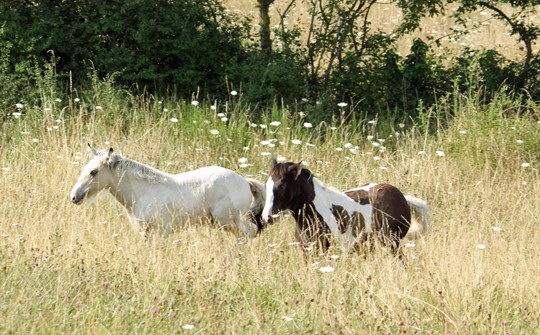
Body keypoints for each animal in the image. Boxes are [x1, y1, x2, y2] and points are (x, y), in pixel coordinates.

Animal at [71, 146, 266, 238]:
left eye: (94, 172)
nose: (74, 197)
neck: (142, 192)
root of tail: (245, 182)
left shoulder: (159, 232)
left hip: (227, 220)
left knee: (250, 231)